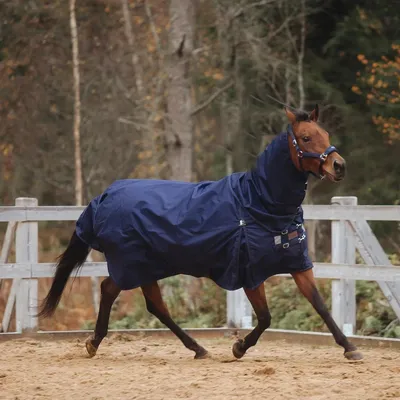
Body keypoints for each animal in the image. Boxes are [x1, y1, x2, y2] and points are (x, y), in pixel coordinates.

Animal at [39, 106, 364, 362]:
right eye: (306, 137)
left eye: (326, 134)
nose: (339, 166)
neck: (258, 203)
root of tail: (103, 197)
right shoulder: (250, 274)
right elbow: (266, 317)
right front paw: (238, 347)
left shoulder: (297, 265)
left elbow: (320, 306)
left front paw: (350, 348)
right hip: (130, 265)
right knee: (111, 290)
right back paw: (94, 343)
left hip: (147, 267)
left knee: (154, 305)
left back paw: (197, 348)